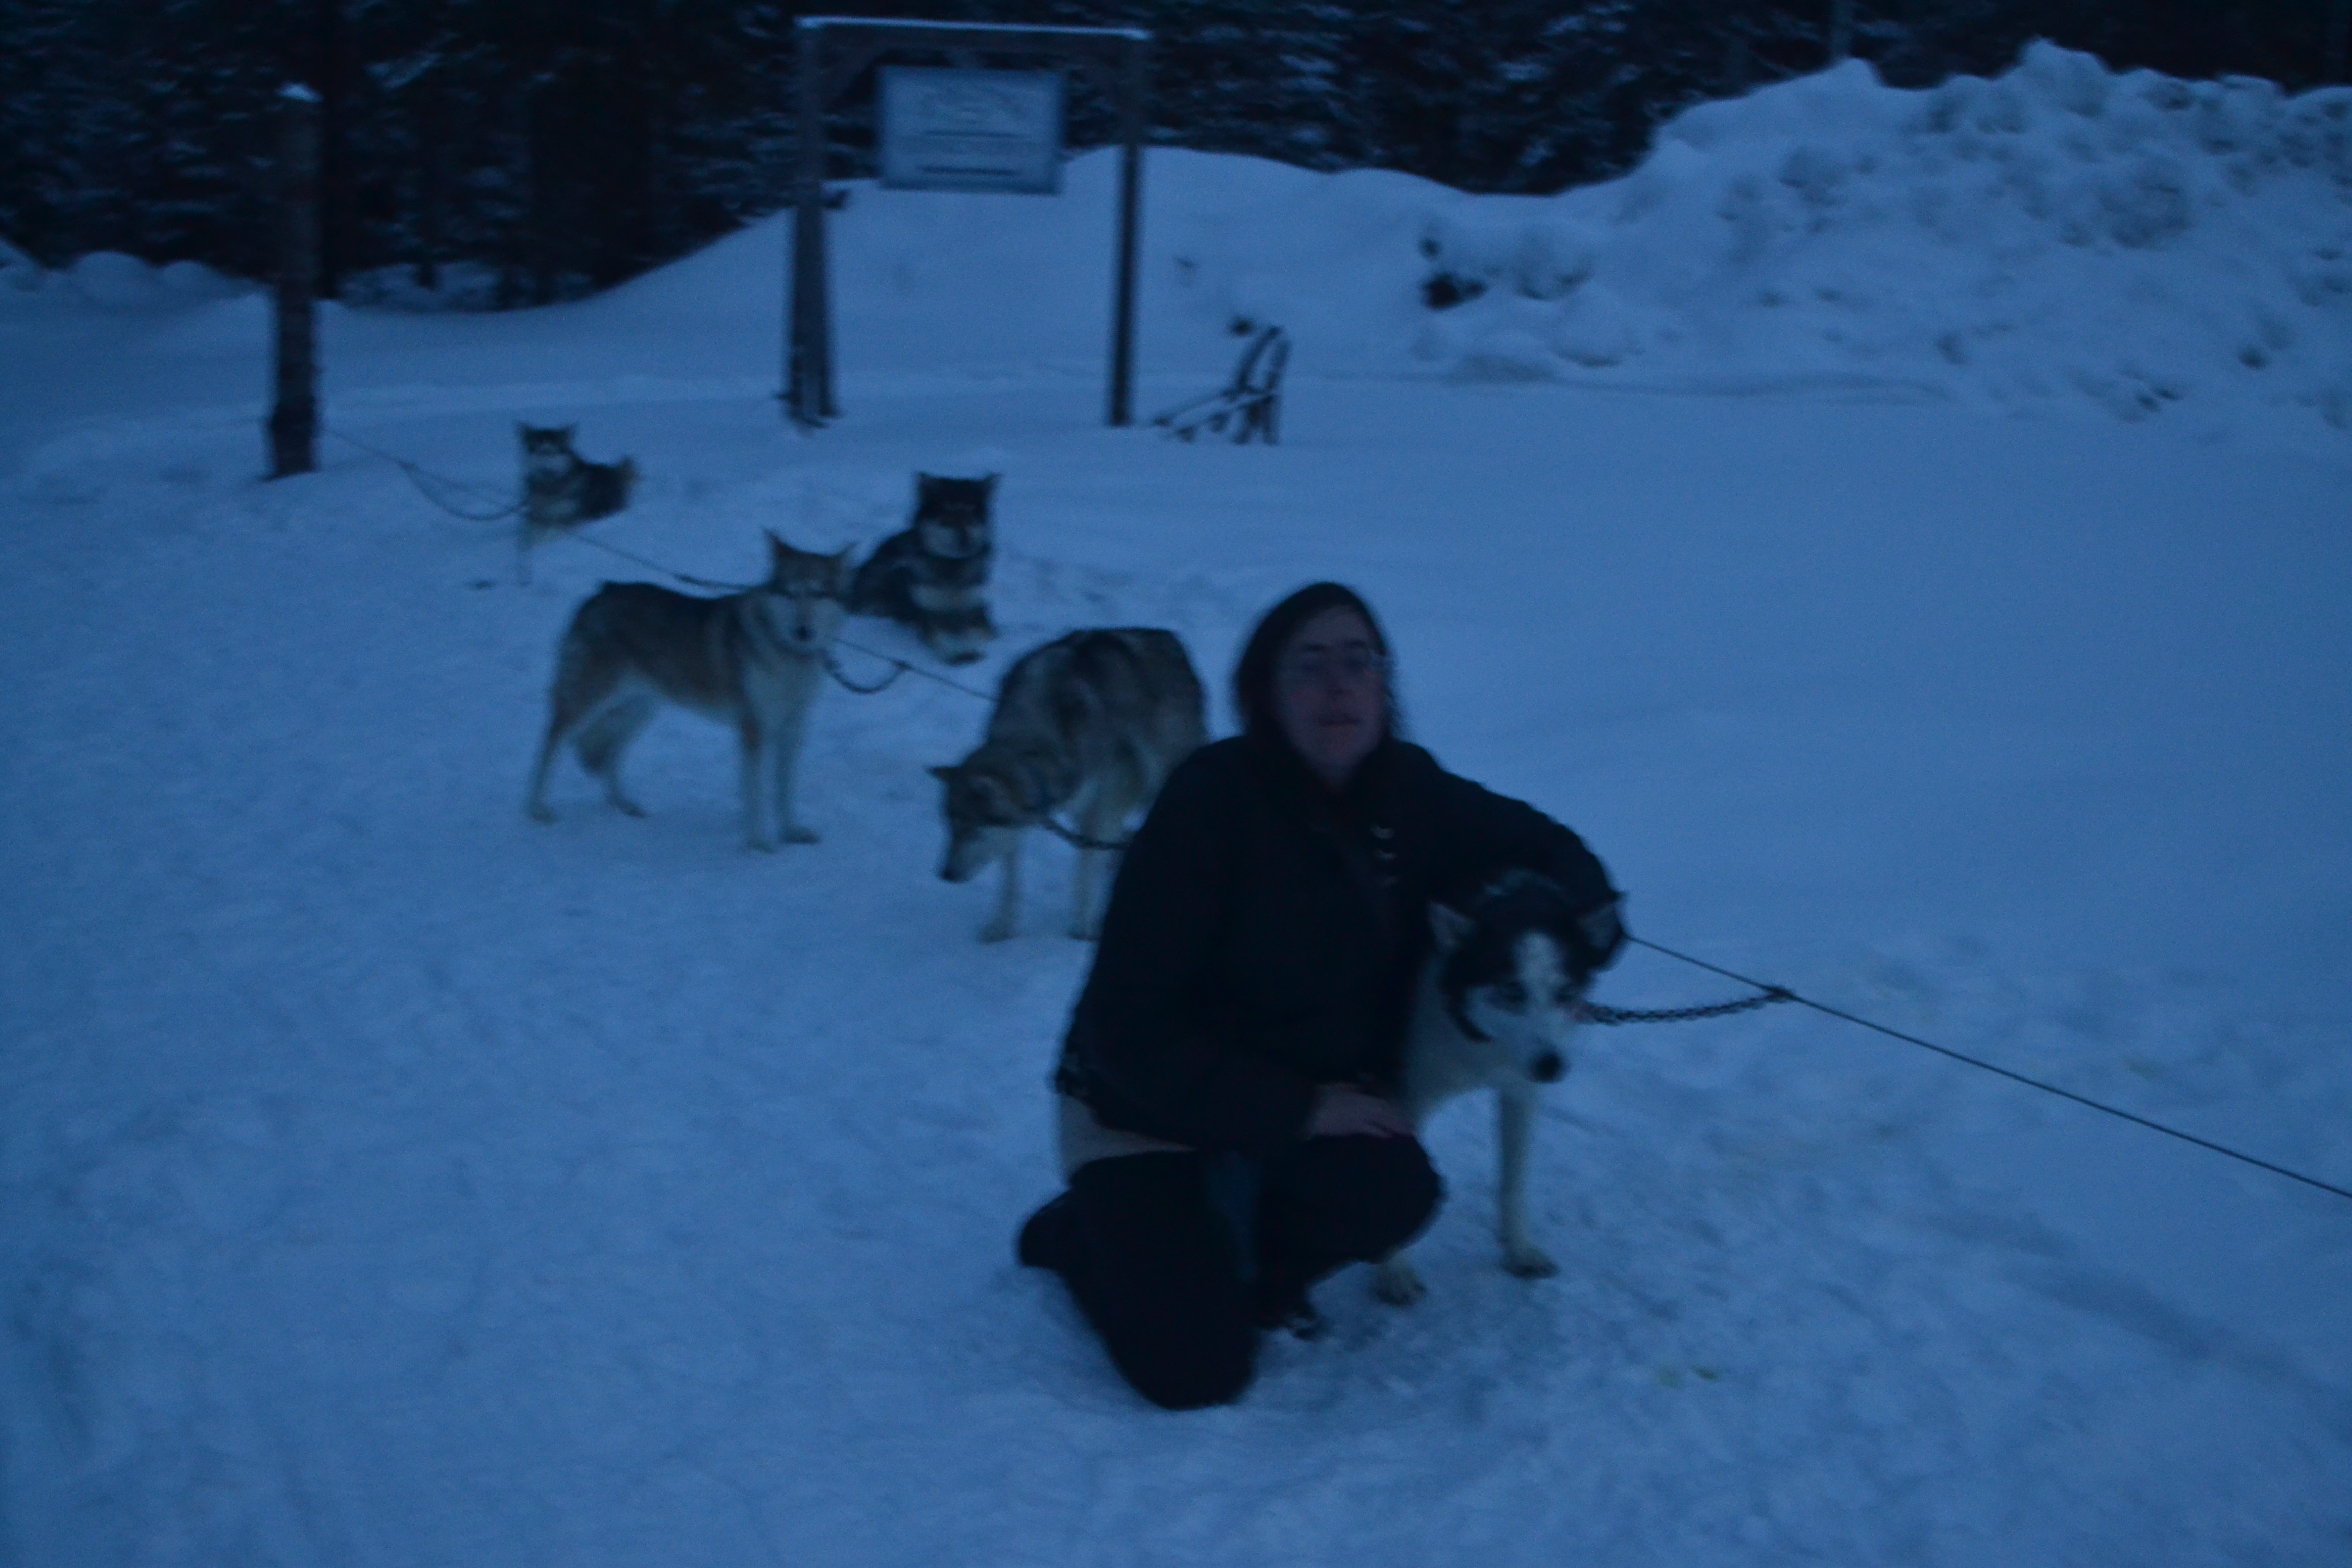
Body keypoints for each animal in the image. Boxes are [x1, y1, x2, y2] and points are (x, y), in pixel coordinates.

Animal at [517, 421, 640, 580]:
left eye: (554, 452)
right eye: (537, 450)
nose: (545, 454)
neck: (551, 487)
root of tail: (615, 472)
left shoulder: (571, 519)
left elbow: (549, 534)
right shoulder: (537, 516)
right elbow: (530, 534)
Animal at [527, 533, 856, 851]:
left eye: (819, 593)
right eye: (790, 593)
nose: (803, 632)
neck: (788, 655)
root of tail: (601, 593)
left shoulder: (793, 728)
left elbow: (784, 790)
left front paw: (791, 832)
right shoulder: (754, 730)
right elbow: (756, 794)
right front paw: (760, 843)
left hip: (638, 710)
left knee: (610, 755)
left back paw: (626, 805)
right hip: (593, 700)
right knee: (552, 742)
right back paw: (537, 809)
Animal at [851, 465, 997, 663]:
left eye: (971, 514)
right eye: (947, 515)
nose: (966, 541)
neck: (951, 567)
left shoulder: (977, 611)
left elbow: (976, 633)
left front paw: (972, 649)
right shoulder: (929, 614)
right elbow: (940, 636)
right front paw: (955, 652)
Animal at [926, 630, 1204, 945]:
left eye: (970, 830)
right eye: (950, 827)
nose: (945, 874)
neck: (1032, 740)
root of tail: (1173, 641)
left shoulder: (1095, 808)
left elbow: (1085, 873)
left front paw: (1085, 926)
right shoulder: (1032, 817)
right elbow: (1011, 881)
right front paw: (1003, 926)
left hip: (1158, 776)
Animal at [1374, 870, 1608, 1316]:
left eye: (1565, 992)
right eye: (1512, 991)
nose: (1552, 1065)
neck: (1485, 1047)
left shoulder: (1521, 1095)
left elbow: (1513, 1183)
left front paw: (1519, 1249)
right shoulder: (1407, 1098)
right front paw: (1394, 1268)